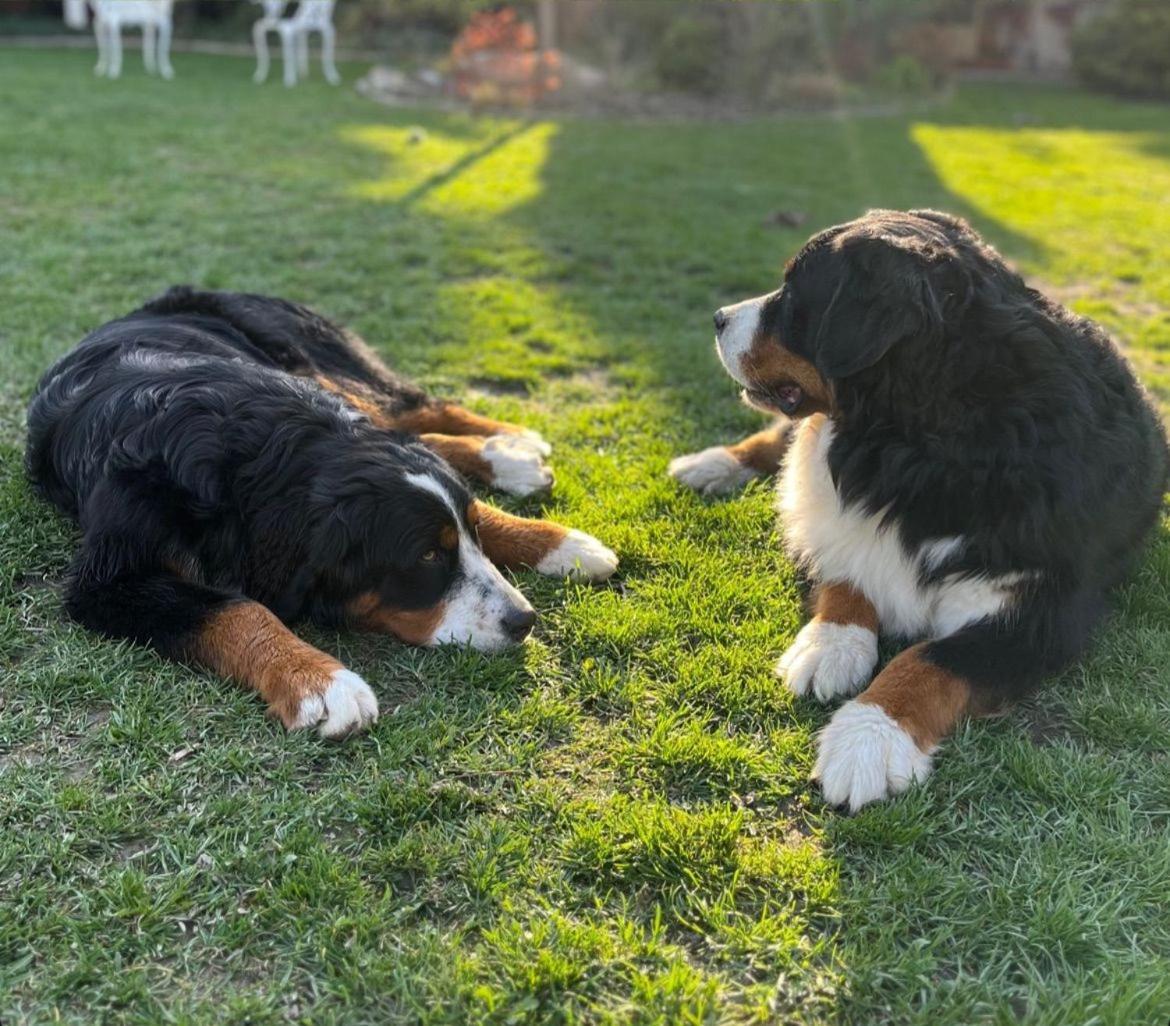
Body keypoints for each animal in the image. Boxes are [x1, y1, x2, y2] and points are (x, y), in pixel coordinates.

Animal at [22, 287, 617, 734]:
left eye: (461, 538)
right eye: (427, 556)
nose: (524, 620)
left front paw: (562, 543)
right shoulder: (109, 583)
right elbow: (237, 610)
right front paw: (318, 681)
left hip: (321, 365)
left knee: (415, 408)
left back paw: (511, 448)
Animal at [673, 208, 1165, 814]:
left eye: (791, 295)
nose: (718, 318)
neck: (919, 445)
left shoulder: (1042, 609)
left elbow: (931, 660)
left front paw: (867, 737)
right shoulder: (835, 516)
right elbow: (849, 574)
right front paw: (829, 646)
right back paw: (710, 465)